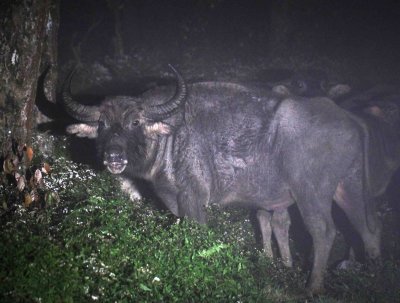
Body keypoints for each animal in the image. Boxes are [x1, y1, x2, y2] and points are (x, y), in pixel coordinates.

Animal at [61, 66, 382, 294]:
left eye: (135, 122)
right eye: (102, 123)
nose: (113, 155)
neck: (169, 137)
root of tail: (349, 118)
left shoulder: (193, 196)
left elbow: (199, 234)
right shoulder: (173, 199)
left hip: (311, 193)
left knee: (324, 231)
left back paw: (313, 287)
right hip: (349, 186)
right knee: (367, 228)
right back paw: (372, 272)